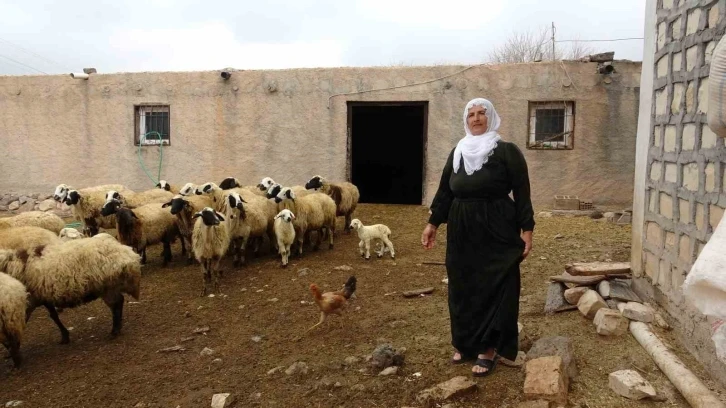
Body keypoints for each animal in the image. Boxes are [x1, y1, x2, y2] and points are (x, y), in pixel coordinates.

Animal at [0, 237, 143, 346]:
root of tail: (128, 254)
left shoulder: (29, 301)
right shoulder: (43, 297)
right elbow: (53, 316)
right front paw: (65, 336)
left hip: (107, 287)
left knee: (117, 304)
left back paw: (114, 331)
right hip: (110, 287)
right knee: (119, 302)